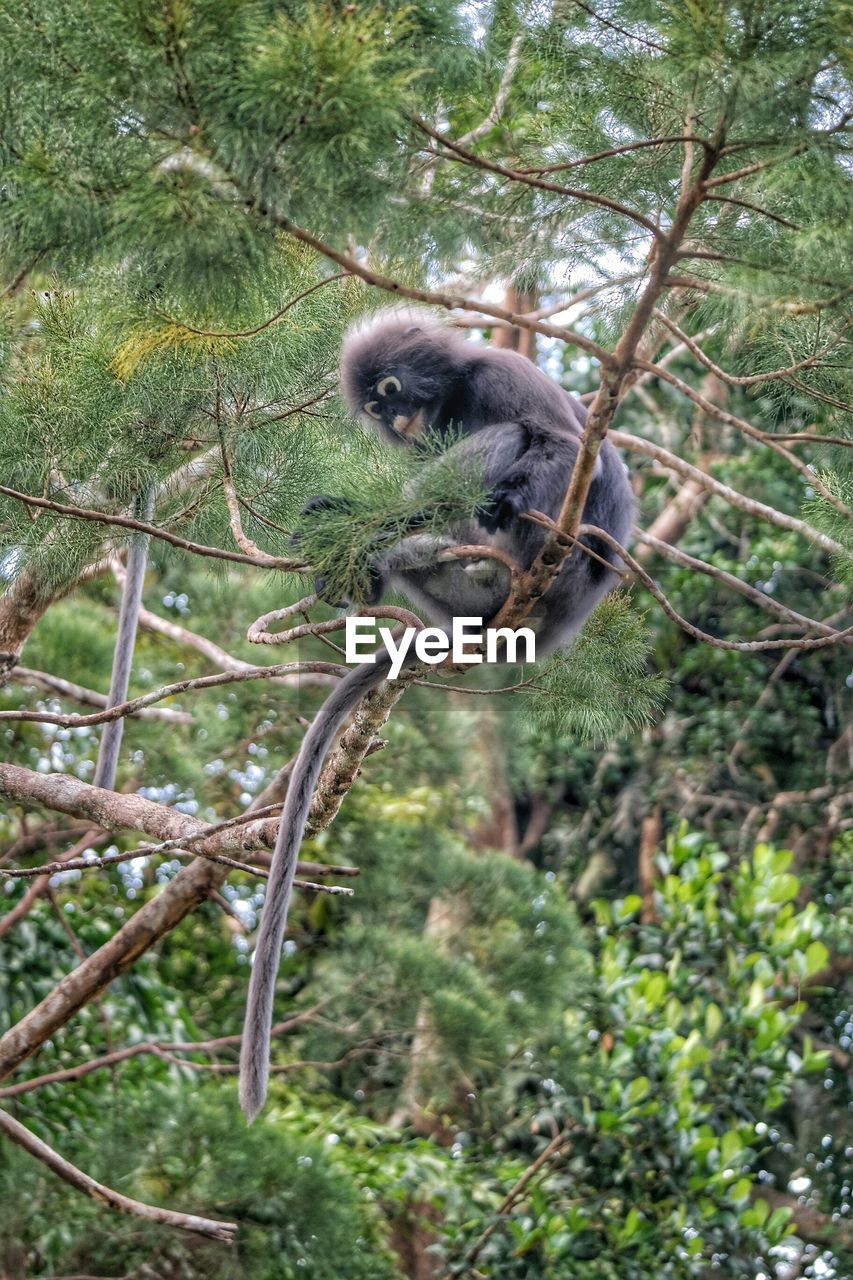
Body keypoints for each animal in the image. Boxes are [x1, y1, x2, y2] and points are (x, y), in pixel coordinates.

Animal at [236, 309, 630, 1121]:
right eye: (376, 409)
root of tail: (549, 621)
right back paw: (367, 563)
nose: (395, 420)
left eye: (390, 390)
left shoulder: (500, 375)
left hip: (542, 550)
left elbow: (561, 442)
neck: (449, 399)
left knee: (523, 444)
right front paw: (346, 531)